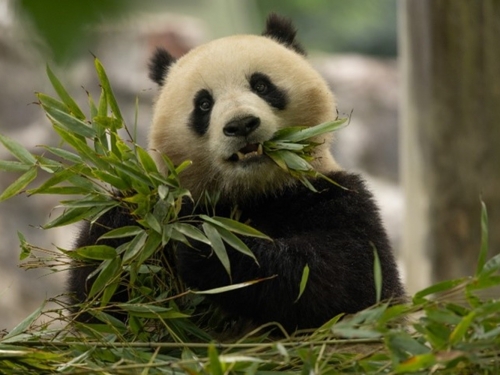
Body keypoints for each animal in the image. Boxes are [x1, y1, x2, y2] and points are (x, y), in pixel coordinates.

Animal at [67, 13, 406, 334]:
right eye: (204, 104)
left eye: (261, 85)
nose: (241, 124)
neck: (255, 192)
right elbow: (99, 304)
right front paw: (128, 219)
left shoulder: (334, 195)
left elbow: (348, 282)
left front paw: (208, 246)